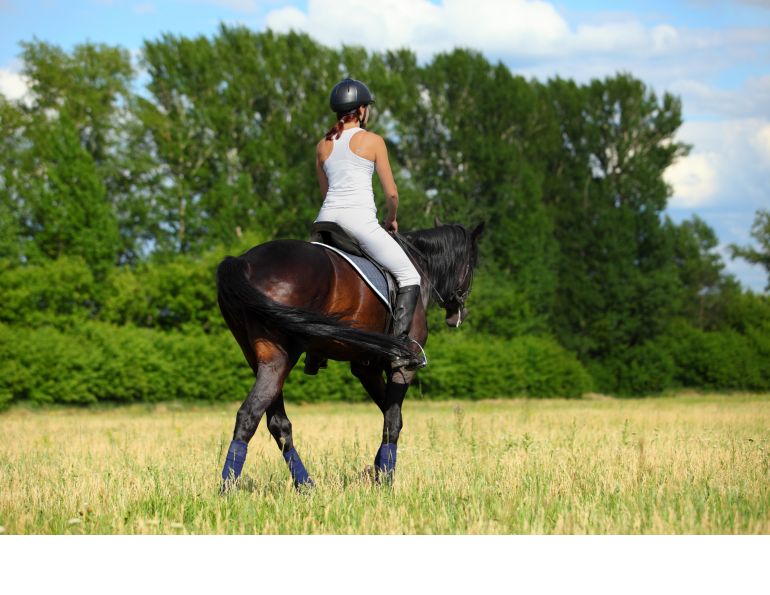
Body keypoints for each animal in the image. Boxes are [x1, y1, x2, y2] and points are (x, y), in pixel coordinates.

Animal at [216, 218, 484, 490]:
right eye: (473, 263)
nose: (457, 314)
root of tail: (243, 262)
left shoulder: (366, 367)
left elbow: (388, 412)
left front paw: (377, 470)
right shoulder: (401, 366)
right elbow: (393, 419)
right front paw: (385, 479)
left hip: (258, 359)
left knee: (277, 423)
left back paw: (305, 486)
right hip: (280, 358)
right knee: (249, 415)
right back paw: (228, 490)